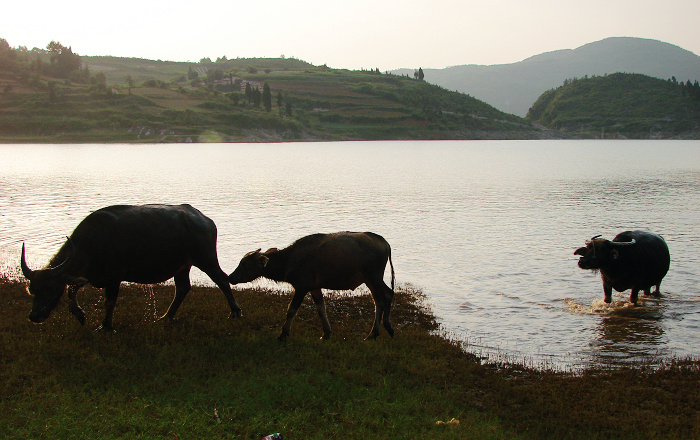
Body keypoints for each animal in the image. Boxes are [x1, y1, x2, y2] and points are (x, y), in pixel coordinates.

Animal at [19, 205, 243, 328]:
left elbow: (109, 302)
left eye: (50, 288)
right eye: (32, 290)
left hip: (206, 259)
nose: (34, 316)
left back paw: (235, 312)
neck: (91, 243)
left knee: (222, 280)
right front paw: (80, 314)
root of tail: (204, 220)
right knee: (183, 288)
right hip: (183, 266)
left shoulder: (114, 278)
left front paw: (105, 326)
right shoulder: (90, 275)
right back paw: (165, 316)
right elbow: (72, 289)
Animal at [228, 232, 394, 342]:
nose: (230, 277)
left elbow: (291, 310)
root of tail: (385, 243)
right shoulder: (314, 288)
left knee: (384, 298)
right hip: (371, 280)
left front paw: (283, 334)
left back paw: (378, 332)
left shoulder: (301, 287)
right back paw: (382, 330)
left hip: (373, 278)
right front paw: (326, 333)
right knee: (384, 297)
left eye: (244, 263)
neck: (289, 260)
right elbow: (321, 310)